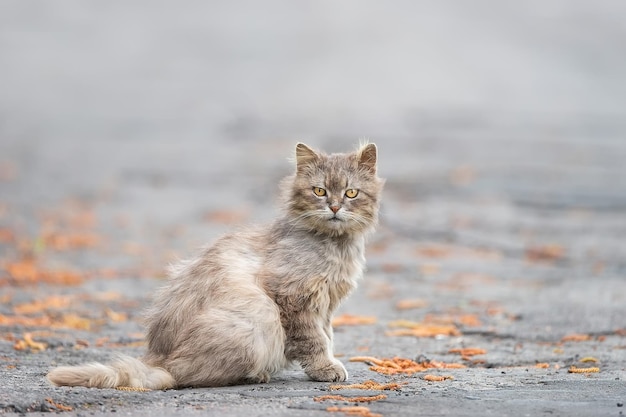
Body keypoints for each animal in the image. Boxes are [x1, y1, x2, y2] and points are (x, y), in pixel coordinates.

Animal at [46, 141, 382, 388]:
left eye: (351, 192)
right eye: (319, 191)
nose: (335, 207)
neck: (335, 245)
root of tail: (158, 359)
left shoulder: (326, 305)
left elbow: (327, 335)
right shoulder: (293, 296)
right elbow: (314, 340)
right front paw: (325, 368)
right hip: (257, 316)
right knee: (187, 377)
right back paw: (254, 375)